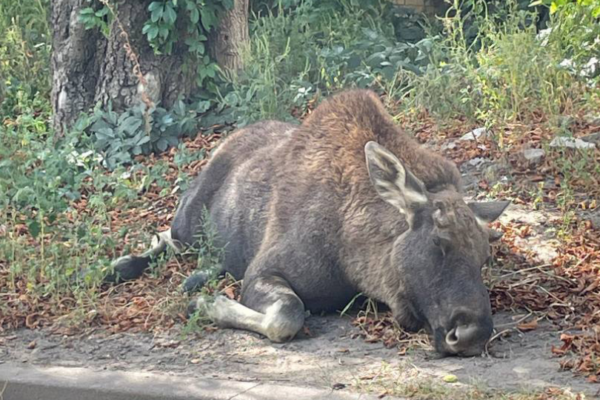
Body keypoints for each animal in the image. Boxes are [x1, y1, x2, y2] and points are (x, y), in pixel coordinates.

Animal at [106, 90, 506, 356]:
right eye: (439, 242)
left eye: (483, 257)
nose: (471, 334)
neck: (353, 254)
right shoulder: (264, 269)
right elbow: (287, 315)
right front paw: (208, 304)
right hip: (187, 223)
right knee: (165, 237)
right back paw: (119, 267)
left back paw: (198, 275)